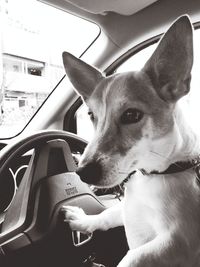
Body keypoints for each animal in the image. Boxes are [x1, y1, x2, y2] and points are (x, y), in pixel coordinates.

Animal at [61, 15, 200, 266]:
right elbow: (107, 214)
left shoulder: (180, 240)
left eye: (132, 115)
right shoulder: (127, 208)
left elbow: (133, 256)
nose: (82, 173)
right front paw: (83, 219)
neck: (156, 175)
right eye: (91, 115)